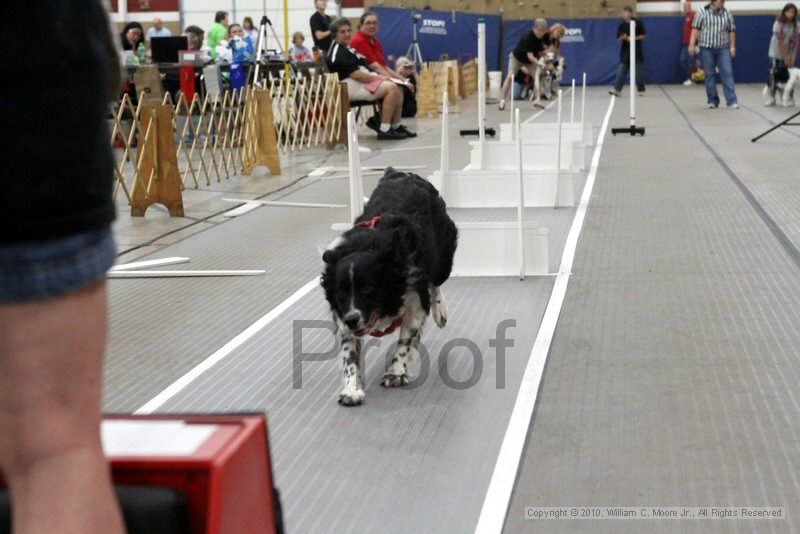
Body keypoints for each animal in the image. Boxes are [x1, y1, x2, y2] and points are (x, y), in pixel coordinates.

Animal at [318, 168, 456, 406]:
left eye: (368, 288)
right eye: (341, 292)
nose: (352, 319)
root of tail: (402, 173)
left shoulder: (414, 297)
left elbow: (406, 340)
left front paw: (396, 372)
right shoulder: (344, 318)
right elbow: (349, 355)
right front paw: (352, 389)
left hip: (443, 259)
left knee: (436, 283)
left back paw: (440, 311)